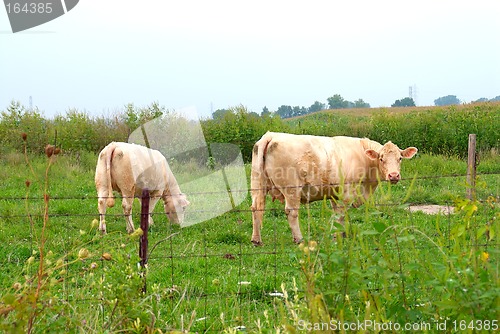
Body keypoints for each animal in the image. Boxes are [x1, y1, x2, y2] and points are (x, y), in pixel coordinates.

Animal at [250, 132, 418, 244]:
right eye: (381, 159)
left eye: (400, 158)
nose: (394, 175)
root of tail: (272, 135)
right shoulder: (347, 192)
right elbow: (341, 214)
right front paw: (337, 235)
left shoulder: (335, 193)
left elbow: (338, 214)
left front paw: (340, 234)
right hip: (292, 189)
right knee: (291, 213)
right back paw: (299, 239)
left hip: (257, 185)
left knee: (256, 208)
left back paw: (256, 240)